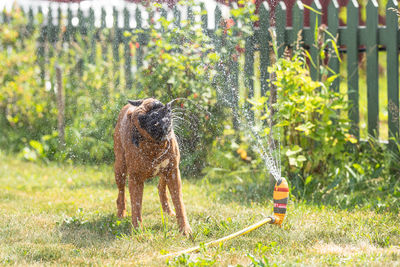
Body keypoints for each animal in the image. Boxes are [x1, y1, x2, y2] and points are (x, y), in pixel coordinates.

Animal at [113, 98, 193, 237]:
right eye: (142, 119)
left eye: (157, 105)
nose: (156, 114)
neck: (154, 146)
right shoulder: (135, 180)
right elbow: (136, 206)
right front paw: (137, 229)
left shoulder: (173, 172)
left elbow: (179, 203)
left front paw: (184, 228)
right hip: (120, 169)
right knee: (121, 192)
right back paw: (121, 212)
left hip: (166, 173)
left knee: (161, 187)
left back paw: (167, 211)